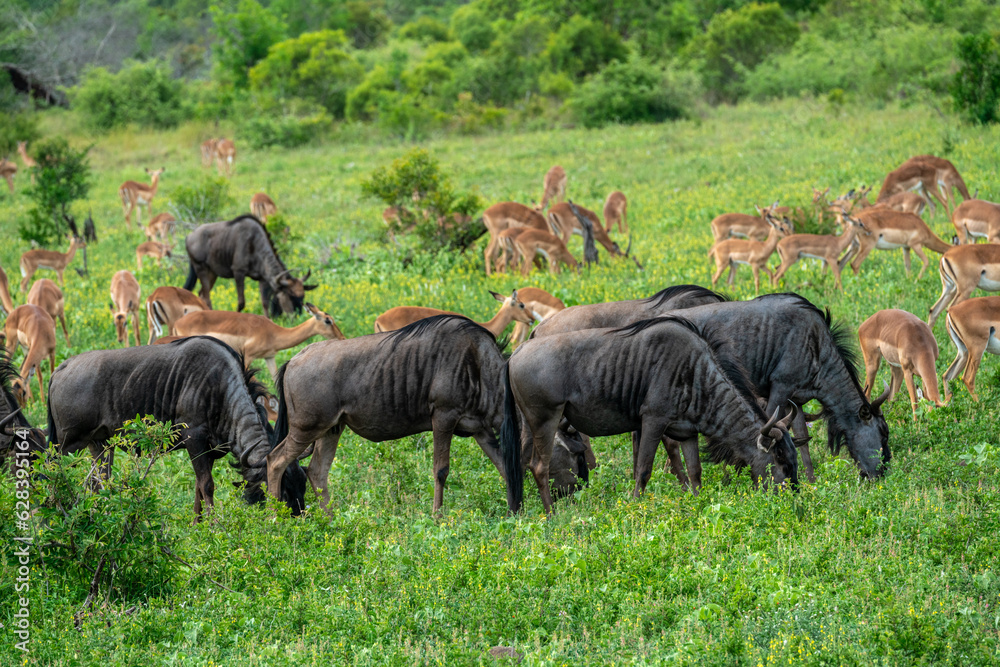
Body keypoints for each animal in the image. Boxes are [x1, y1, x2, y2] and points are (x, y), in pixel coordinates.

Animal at [174, 303, 345, 377]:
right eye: (328, 320)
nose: (342, 337)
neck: (273, 332)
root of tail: (178, 322)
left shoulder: (269, 357)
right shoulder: (248, 356)